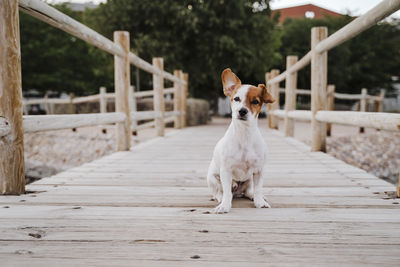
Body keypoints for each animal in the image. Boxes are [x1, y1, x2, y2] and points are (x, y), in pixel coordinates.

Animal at [206, 68, 276, 214]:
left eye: (255, 101)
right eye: (236, 99)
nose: (242, 111)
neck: (245, 134)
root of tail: (237, 192)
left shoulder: (259, 171)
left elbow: (258, 189)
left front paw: (260, 202)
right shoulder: (226, 171)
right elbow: (227, 192)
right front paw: (225, 205)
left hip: (249, 179)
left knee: (249, 191)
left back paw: (254, 196)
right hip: (212, 178)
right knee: (220, 192)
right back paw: (220, 198)